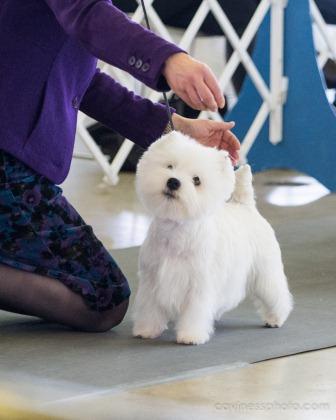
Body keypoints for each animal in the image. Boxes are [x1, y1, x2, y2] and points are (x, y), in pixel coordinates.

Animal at [133, 131, 292, 344]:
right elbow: (149, 308)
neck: (175, 229)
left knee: (276, 294)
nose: (173, 182)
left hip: (266, 270)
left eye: (196, 180)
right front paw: (146, 330)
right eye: (170, 166)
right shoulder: (151, 280)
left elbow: (195, 312)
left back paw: (275, 319)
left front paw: (190, 336)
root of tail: (246, 206)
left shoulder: (198, 285)